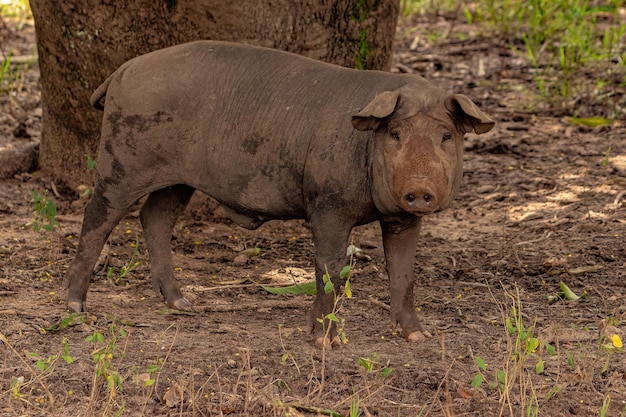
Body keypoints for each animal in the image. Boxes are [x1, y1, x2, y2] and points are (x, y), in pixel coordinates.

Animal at [64, 39, 492, 348]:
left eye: (446, 136)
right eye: (396, 134)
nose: (419, 189)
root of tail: (122, 71)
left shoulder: (401, 218)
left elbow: (404, 273)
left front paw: (419, 337)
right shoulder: (327, 206)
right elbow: (330, 269)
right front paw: (324, 343)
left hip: (177, 180)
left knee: (154, 218)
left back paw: (183, 304)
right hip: (123, 160)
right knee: (97, 217)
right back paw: (75, 306)